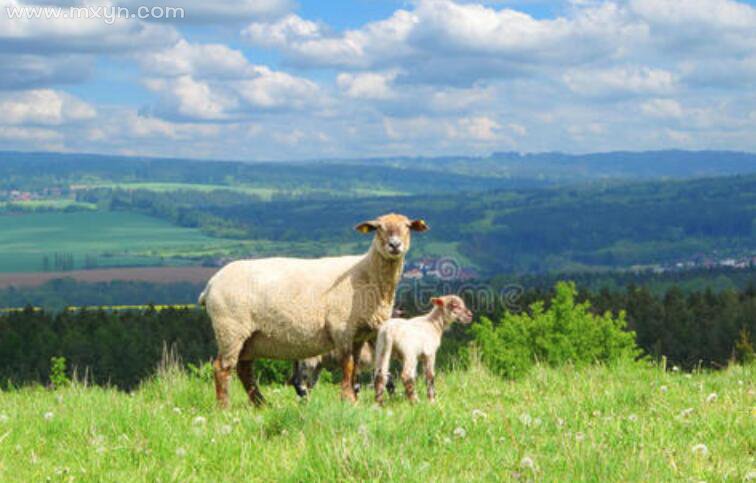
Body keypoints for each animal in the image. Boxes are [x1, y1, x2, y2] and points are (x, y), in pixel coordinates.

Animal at [198, 214, 428, 406]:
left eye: (407, 226)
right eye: (378, 228)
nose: (395, 245)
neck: (366, 272)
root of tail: (210, 284)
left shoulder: (359, 334)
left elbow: (354, 368)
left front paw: (352, 399)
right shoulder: (341, 328)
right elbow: (348, 365)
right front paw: (348, 399)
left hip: (249, 338)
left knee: (244, 370)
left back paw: (261, 405)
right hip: (230, 329)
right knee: (222, 368)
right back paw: (224, 407)